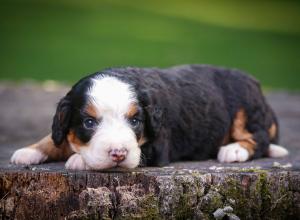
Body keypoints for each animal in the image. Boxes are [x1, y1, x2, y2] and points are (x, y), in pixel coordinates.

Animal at [11, 64, 288, 169]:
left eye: (135, 121)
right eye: (89, 122)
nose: (118, 154)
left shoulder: (159, 145)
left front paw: (79, 160)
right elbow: (55, 138)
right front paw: (29, 151)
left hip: (246, 109)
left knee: (259, 137)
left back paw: (234, 150)